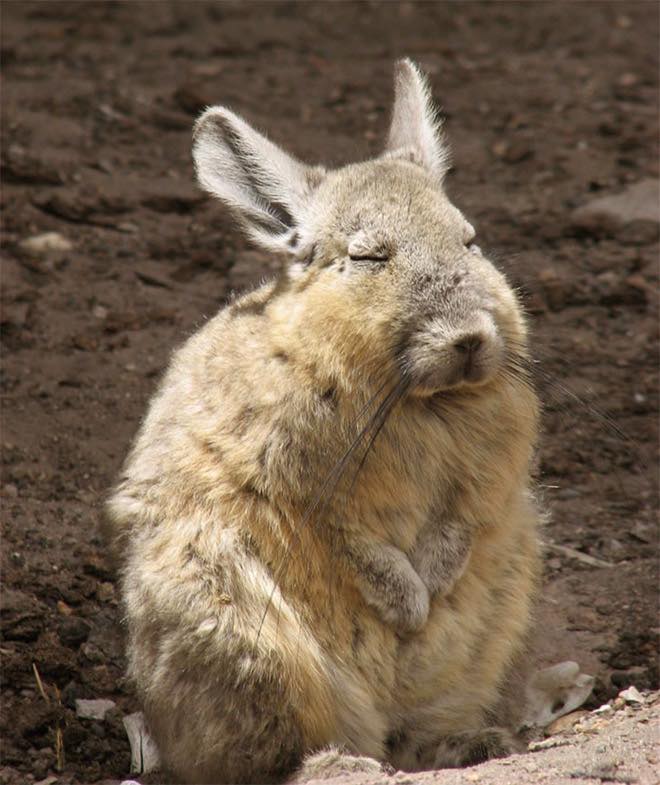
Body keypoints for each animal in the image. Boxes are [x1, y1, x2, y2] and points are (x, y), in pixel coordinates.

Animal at [106, 59, 542, 784]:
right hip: (243, 640)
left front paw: (430, 592)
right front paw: (410, 605)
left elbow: (460, 522)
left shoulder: (491, 481)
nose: (470, 338)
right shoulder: (307, 490)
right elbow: (357, 547)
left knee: (416, 731)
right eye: (368, 256)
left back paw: (467, 743)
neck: (418, 397)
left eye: (471, 241)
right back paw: (336, 758)